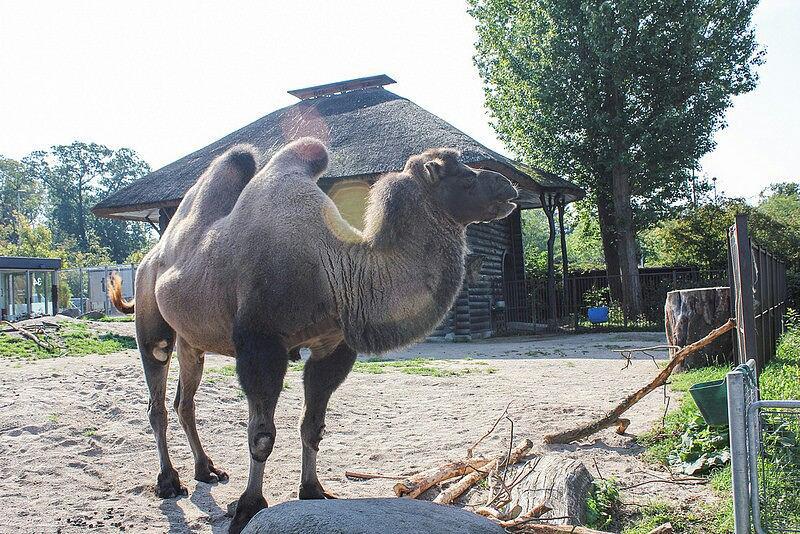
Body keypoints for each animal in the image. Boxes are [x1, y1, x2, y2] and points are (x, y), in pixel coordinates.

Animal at [109, 139, 516, 534]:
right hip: (152, 321)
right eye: (463, 176)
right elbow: (261, 434)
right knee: (157, 401)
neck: (335, 273)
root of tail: (150, 258)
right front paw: (247, 508)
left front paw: (313, 490)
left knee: (185, 402)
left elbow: (313, 427)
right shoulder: (261, 345)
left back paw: (206, 469)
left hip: (192, 340)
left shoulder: (332, 347)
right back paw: (169, 481)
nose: (508, 185)